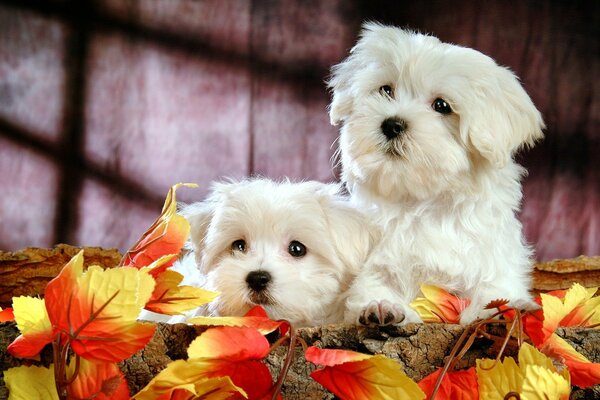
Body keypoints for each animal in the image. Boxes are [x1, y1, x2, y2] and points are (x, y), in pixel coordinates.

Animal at [330, 23, 548, 326]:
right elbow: (372, 285)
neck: (424, 203)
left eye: (442, 106)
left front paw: (503, 308)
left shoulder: (492, 258)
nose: (392, 124)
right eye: (386, 90)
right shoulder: (374, 261)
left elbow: (494, 289)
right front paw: (381, 306)